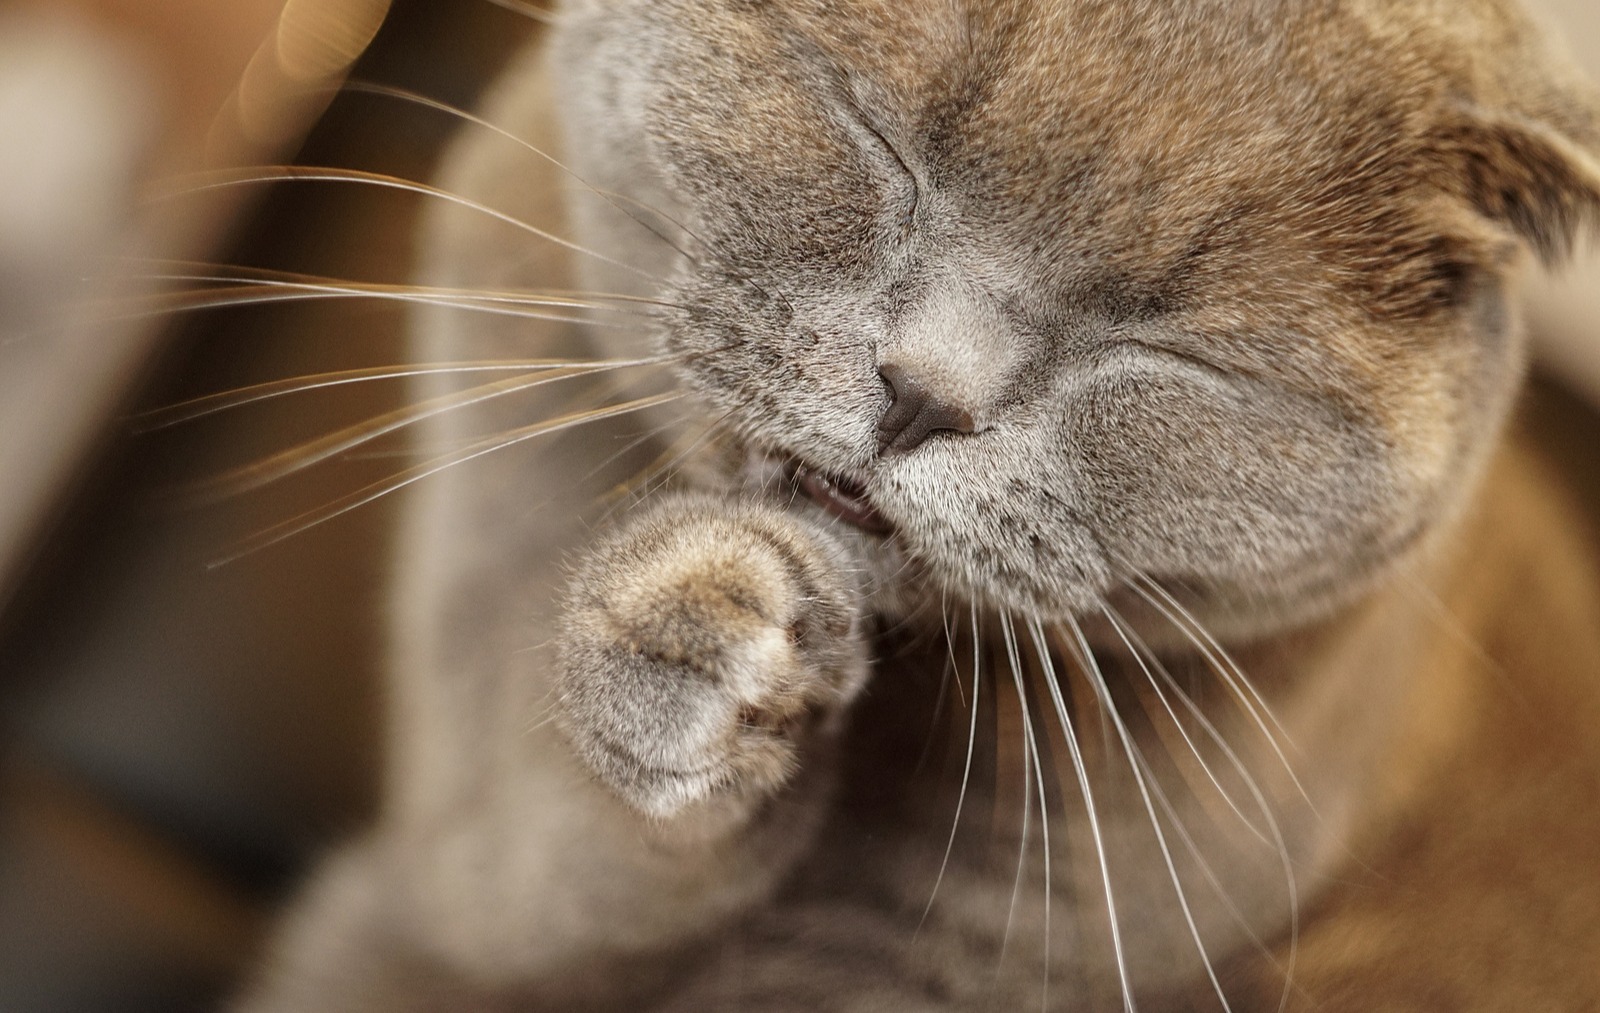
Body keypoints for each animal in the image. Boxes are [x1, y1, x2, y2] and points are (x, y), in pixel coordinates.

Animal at [232, 0, 1600, 1004]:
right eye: (875, 138)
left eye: (1175, 352)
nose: (924, 393)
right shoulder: (469, 835)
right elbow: (538, 868)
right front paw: (712, 627)